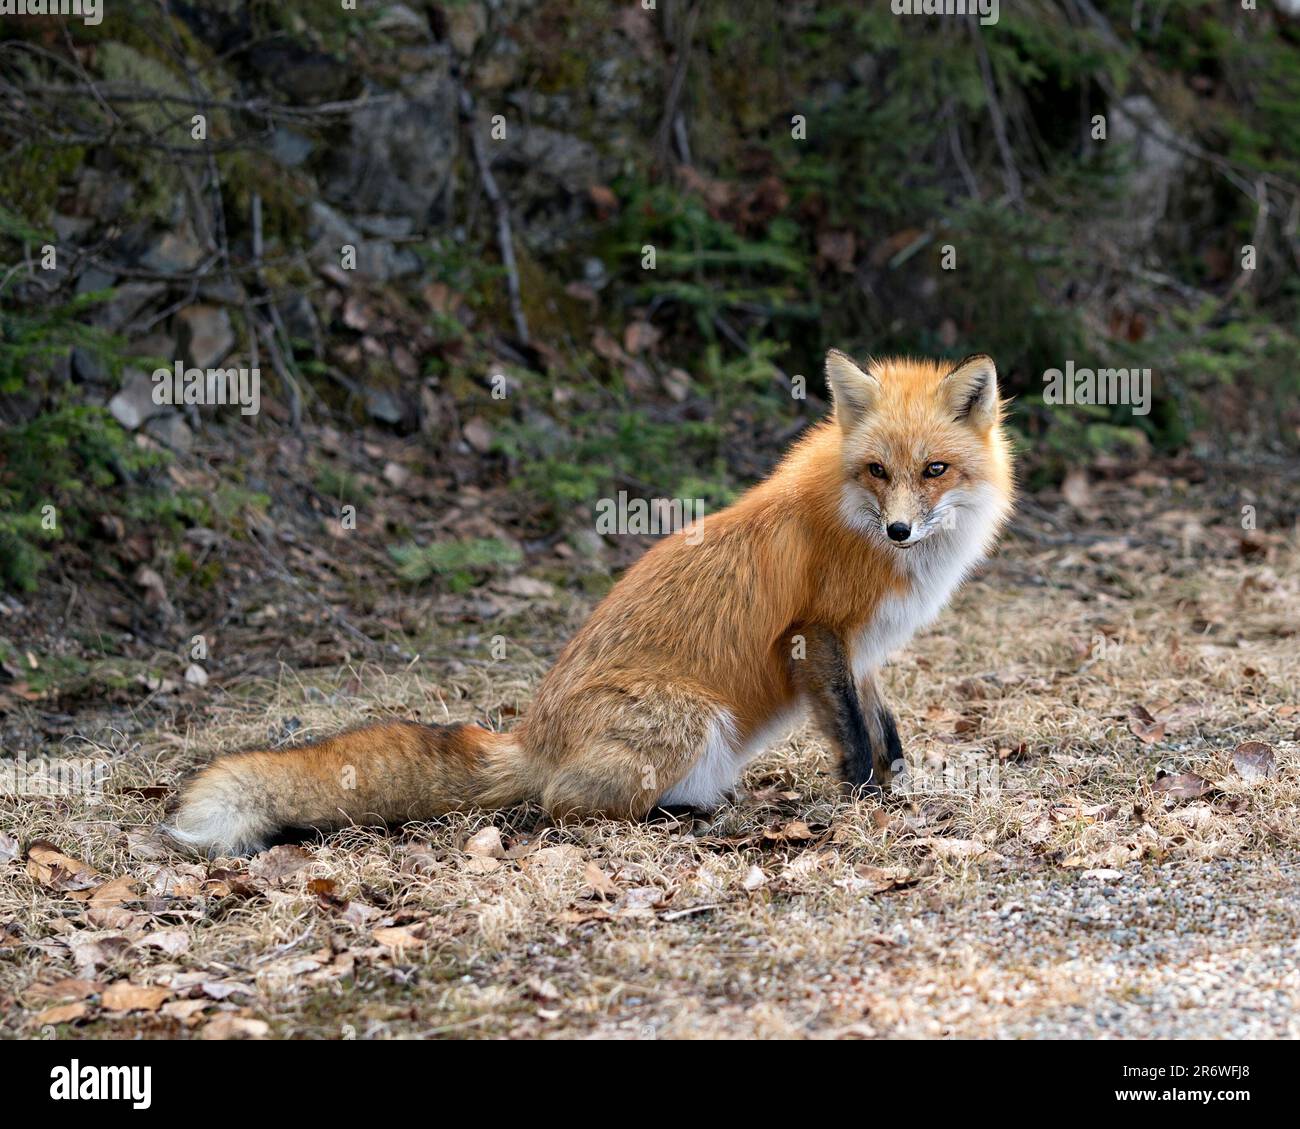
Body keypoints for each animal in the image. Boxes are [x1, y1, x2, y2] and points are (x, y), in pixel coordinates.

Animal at [162, 353, 1013, 853]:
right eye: (877, 470)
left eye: (934, 469)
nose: (901, 528)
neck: (862, 530)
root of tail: (530, 737)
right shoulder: (817, 636)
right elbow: (853, 738)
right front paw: (866, 801)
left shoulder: (862, 649)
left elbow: (882, 723)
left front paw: (901, 782)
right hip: (687, 718)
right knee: (560, 803)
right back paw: (678, 814)